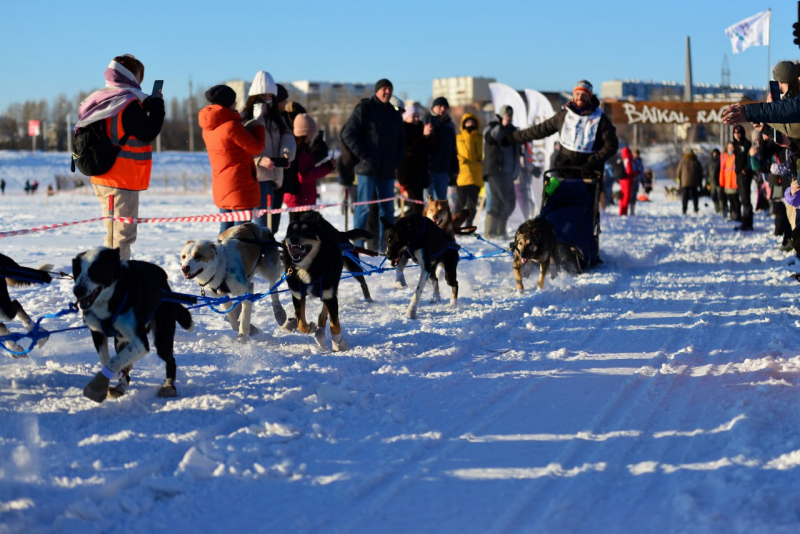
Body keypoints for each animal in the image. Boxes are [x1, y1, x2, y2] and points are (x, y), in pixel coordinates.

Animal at [73, 249, 195, 404]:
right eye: (77, 271)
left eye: (96, 269)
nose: (77, 291)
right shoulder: (97, 333)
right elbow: (106, 360)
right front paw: (116, 373)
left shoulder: (140, 342)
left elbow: (113, 362)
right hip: (121, 340)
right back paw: (121, 385)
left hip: (162, 338)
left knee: (170, 361)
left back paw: (169, 386)